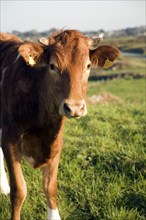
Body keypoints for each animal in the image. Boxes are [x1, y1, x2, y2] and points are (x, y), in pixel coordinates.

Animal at [0, 30, 120, 219]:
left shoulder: (56, 142)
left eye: (88, 66)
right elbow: (19, 191)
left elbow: (50, 187)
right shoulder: (9, 138)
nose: (75, 107)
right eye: (52, 66)